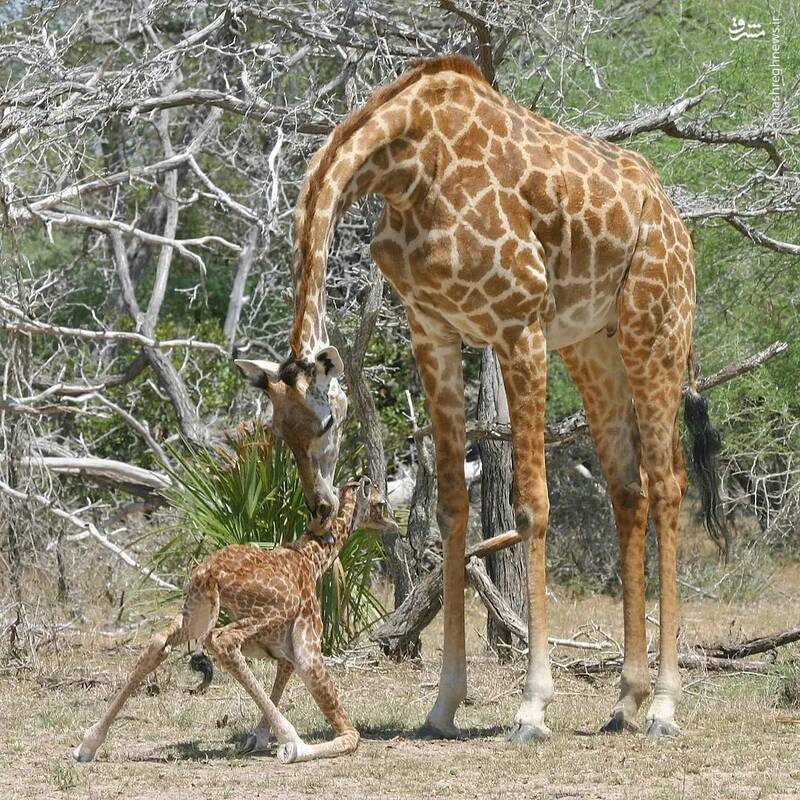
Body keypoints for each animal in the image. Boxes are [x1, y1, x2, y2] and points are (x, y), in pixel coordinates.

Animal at [73, 478, 398, 764]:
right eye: (381, 503)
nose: (394, 524)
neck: (315, 559)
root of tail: (210, 573)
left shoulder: (283, 651)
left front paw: (257, 737)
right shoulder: (307, 645)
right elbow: (351, 736)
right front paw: (285, 744)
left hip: (195, 613)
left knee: (158, 642)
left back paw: (87, 745)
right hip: (265, 614)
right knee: (223, 640)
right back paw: (293, 741)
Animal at [234, 56, 720, 740]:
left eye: (327, 424)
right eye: (279, 433)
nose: (321, 507)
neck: (408, 162)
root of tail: (673, 217)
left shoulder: (518, 327)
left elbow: (532, 506)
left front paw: (532, 707)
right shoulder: (433, 331)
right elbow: (450, 510)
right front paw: (442, 706)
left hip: (656, 328)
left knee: (670, 484)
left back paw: (665, 707)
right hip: (592, 345)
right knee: (629, 488)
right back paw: (625, 701)